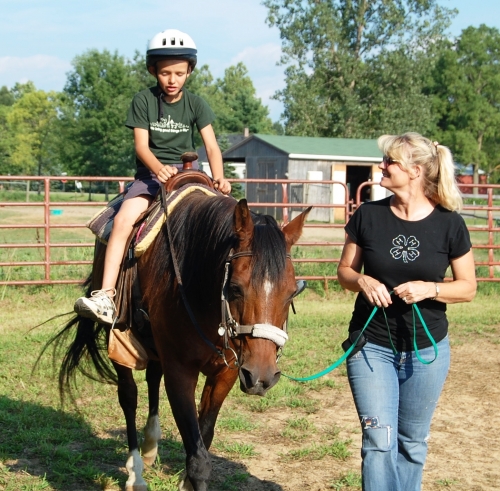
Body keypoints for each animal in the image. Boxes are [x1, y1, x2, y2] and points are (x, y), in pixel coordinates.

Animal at [49, 189, 308, 491]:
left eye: (292, 293)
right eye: (235, 288)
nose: (261, 377)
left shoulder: (226, 374)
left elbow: (204, 438)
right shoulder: (180, 372)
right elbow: (198, 460)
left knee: (152, 377)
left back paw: (150, 445)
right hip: (119, 339)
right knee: (128, 396)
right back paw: (136, 474)